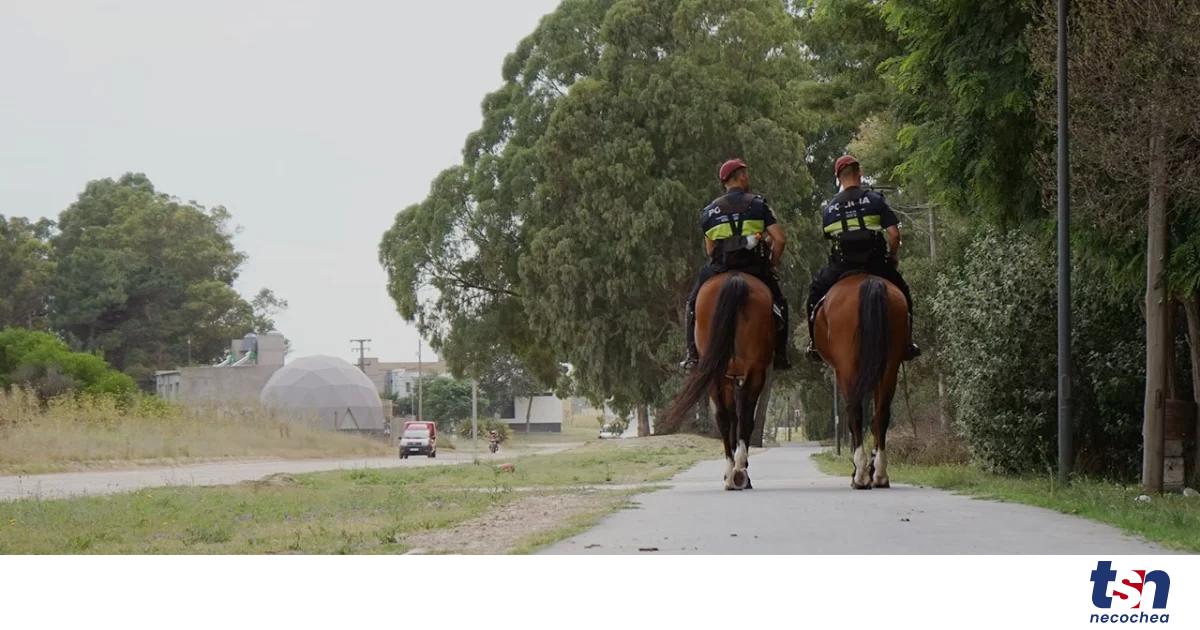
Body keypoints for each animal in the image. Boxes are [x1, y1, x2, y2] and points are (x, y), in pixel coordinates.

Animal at [667, 270, 777, 492]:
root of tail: (735, 278)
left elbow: (733, 418)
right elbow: (737, 417)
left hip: (721, 374)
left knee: (727, 418)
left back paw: (734, 472)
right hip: (748, 372)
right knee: (738, 417)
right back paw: (738, 471)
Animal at [811, 272, 902, 489]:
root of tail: (870, 281)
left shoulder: (840, 371)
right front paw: (873, 468)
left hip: (848, 367)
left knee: (855, 413)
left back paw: (860, 475)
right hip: (890, 364)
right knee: (881, 415)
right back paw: (880, 474)